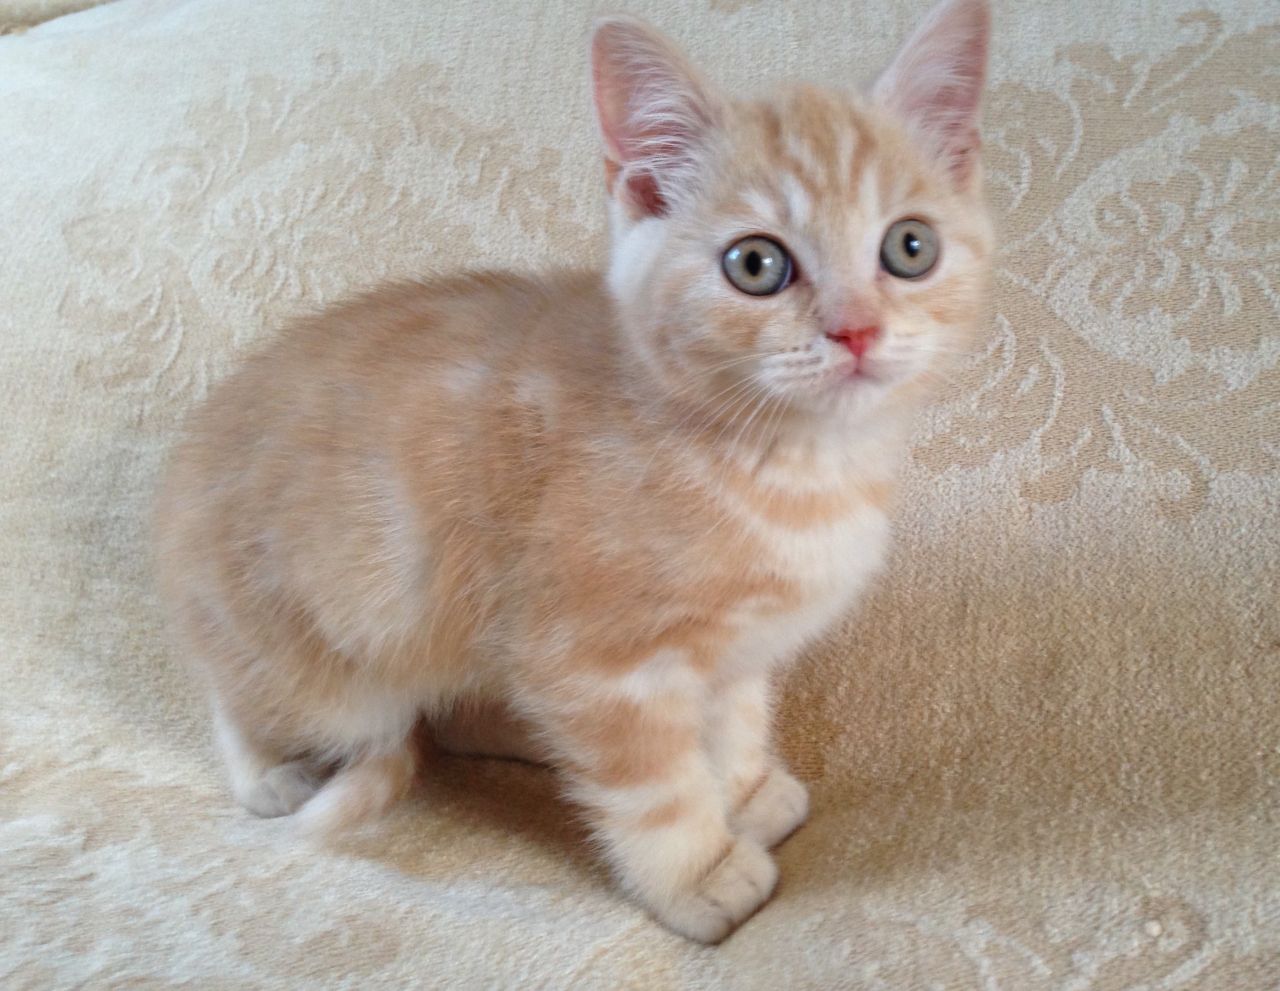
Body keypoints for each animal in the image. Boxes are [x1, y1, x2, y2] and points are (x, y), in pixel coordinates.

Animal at [154, 0, 993, 947]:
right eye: (756, 264)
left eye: (910, 247)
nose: (856, 330)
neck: (795, 464)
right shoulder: (598, 661)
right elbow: (655, 784)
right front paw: (702, 869)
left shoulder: (732, 652)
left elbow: (734, 721)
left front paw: (742, 791)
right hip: (322, 664)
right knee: (240, 693)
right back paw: (266, 770)